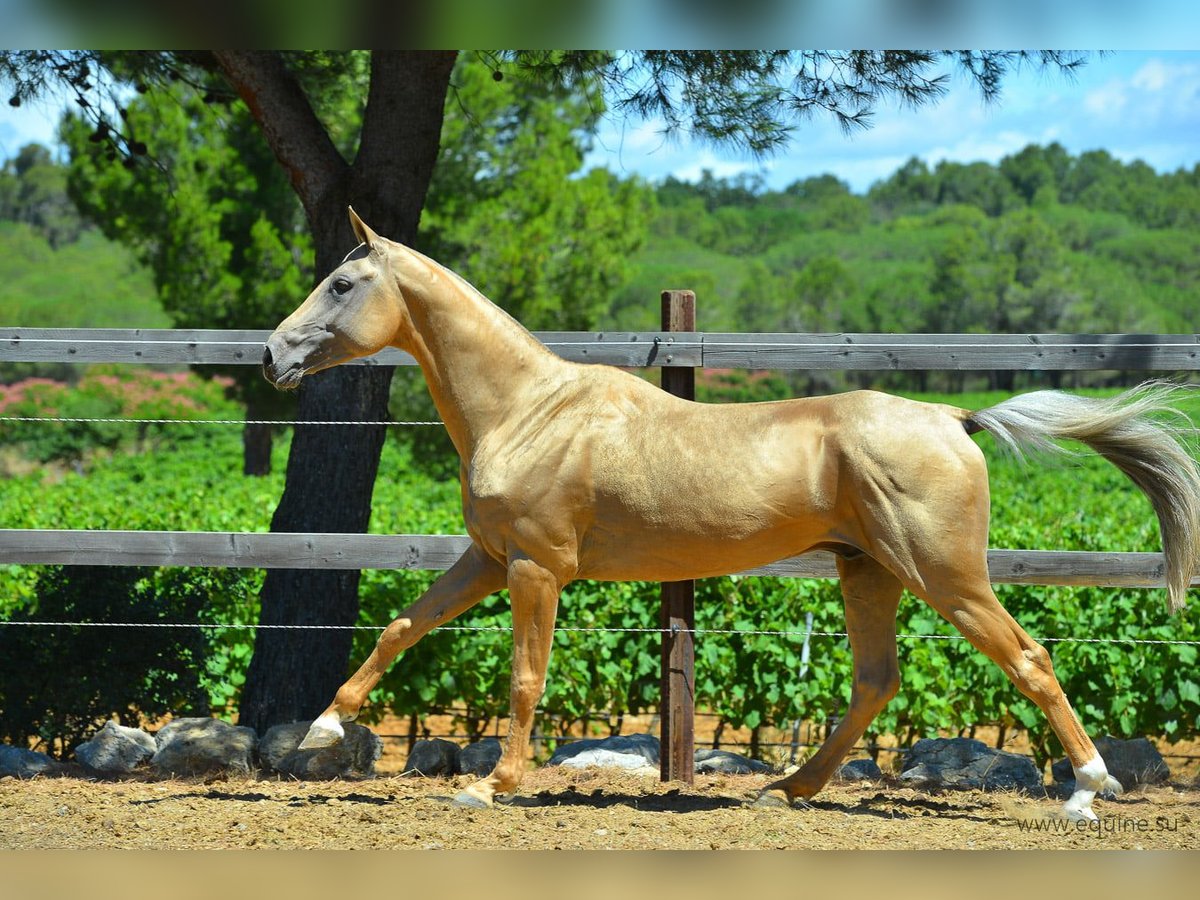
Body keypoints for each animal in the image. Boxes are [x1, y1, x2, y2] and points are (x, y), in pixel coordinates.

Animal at [265, 207, 1200, 820]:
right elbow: (400, 626)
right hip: (869, 572)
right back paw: (786, 790)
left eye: (342, 282)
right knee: (876, 680)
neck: (530, 409)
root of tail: (952, 418)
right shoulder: (488, 559)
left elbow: (524, 676)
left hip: (947, 575)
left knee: (1029, 658)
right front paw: (321, 730)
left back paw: (1089, 790)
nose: (273, 353)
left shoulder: (537, 567)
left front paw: (488, 786)